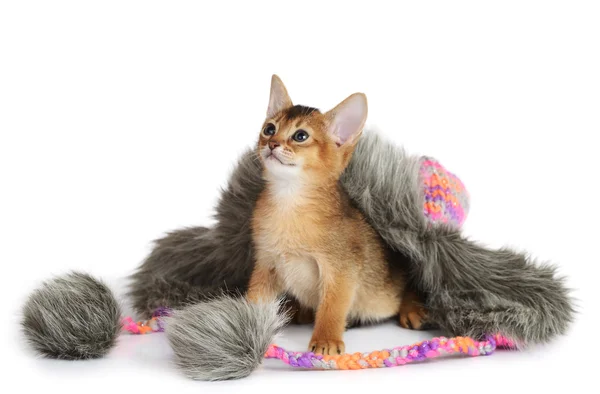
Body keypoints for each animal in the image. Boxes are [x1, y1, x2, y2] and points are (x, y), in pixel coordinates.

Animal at [245, 75, 426, 356]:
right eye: (269, 129)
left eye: (300, 136)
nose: (272, 144)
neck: (289, 205)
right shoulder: (266, 263)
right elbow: (253, 299)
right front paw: (238, 325)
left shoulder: (341, 269)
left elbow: (332, 307)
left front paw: (326, 340)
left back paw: (412, 309)